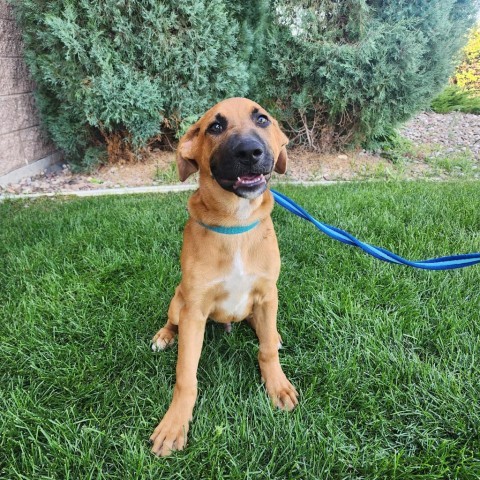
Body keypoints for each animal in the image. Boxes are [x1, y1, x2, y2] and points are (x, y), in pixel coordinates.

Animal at [151, 97, 300, 458]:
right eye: (215, 127)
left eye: (262, 119)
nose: (250, 152)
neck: (236, 223)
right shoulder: (194, 311)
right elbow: (185, 375)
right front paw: (174, 424)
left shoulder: (268, 293)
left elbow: (266, 351)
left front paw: (277, 385)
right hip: (178, 301)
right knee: (172, 320)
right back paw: (163, 336)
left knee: (263, 329)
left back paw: (272, 333)